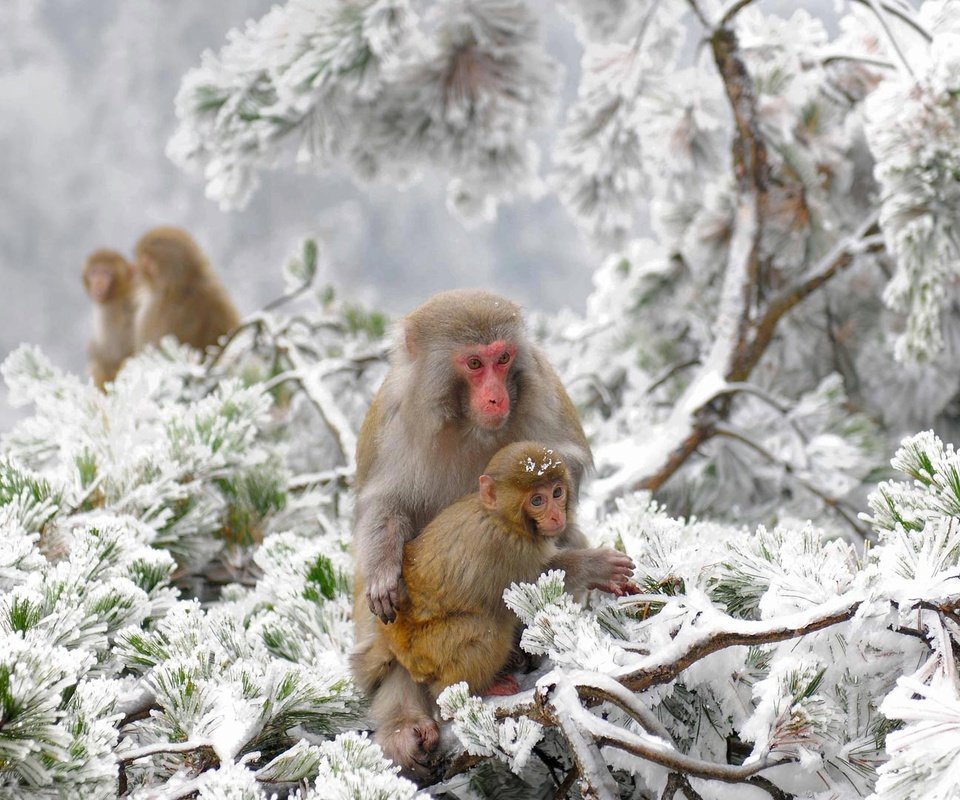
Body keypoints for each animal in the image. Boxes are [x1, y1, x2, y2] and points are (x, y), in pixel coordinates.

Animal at [354, 440, 636, 780]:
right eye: (537, 500)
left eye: (557, 492)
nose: (556, 515)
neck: (501, 518)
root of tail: (392, 641)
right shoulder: (507, 548)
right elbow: (534, 581)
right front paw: (596, 566)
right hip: (428, 647)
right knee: (487, 627)